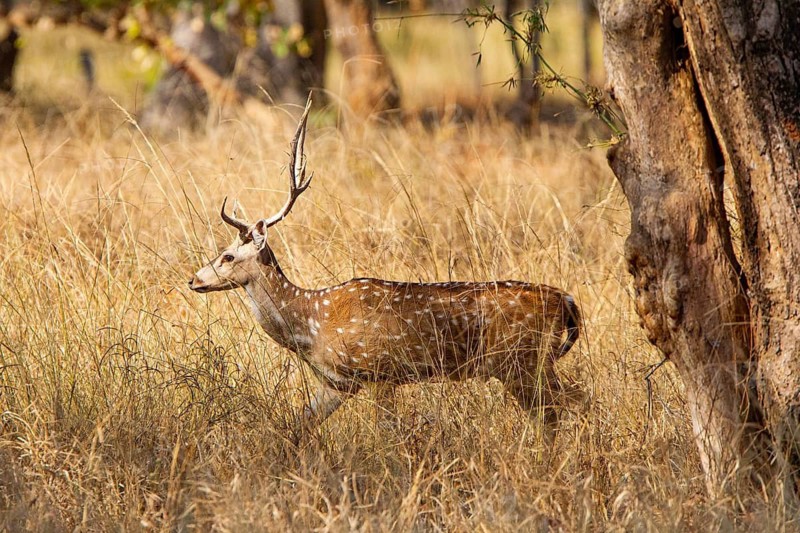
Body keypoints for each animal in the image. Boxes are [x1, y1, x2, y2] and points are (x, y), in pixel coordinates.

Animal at [188, 97, 581, 446]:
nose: (193, 279)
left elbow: (387, 435)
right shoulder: (339, 383)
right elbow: (299, 425)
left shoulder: (380, 371)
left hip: (522, 361)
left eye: (226, 256)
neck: (311, 326)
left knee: (565, 407)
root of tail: (565, 300)